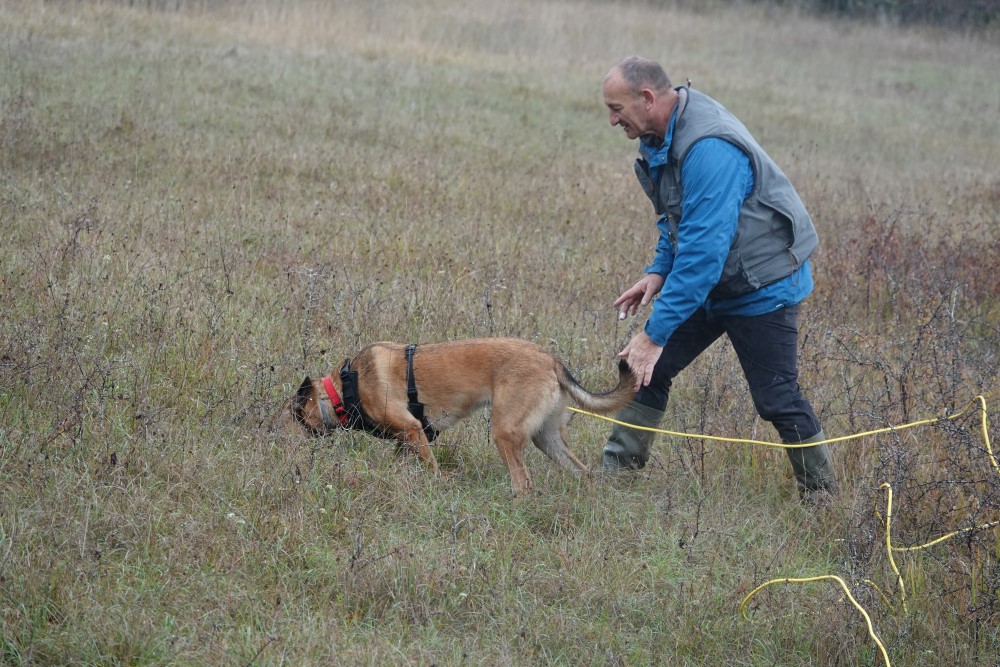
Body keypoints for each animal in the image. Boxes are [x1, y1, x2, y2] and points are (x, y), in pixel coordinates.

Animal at [287, 337, 636, 496]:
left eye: (299, 419)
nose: (294, 452)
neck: (346, 387)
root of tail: (550, 359)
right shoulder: (409, 439)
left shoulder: (413, 430)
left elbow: (432, 469)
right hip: (546, 439)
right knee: (583, 473)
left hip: (505, 433)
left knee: (523, 484)